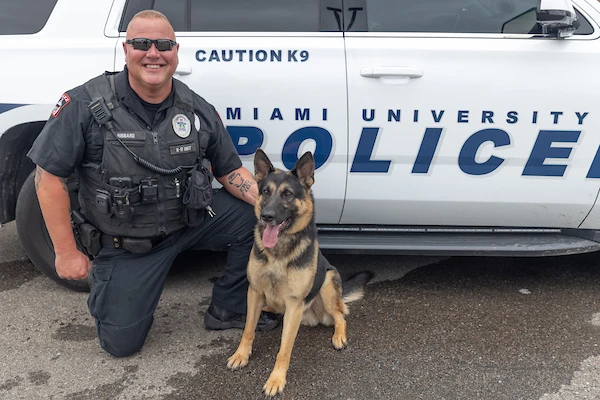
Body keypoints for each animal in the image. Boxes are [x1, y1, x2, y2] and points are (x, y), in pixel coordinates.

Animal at [227, 149, 372, 396]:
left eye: (287, 194)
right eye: (265, 192)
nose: (266, 216)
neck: (279, 251)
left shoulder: (294, 303)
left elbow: (284, 349)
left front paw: (276, 379)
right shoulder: (254, 291)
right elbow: (248, 329)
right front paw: (241, 355)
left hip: (327, 283)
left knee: (340, 316)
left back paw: (339, 336)